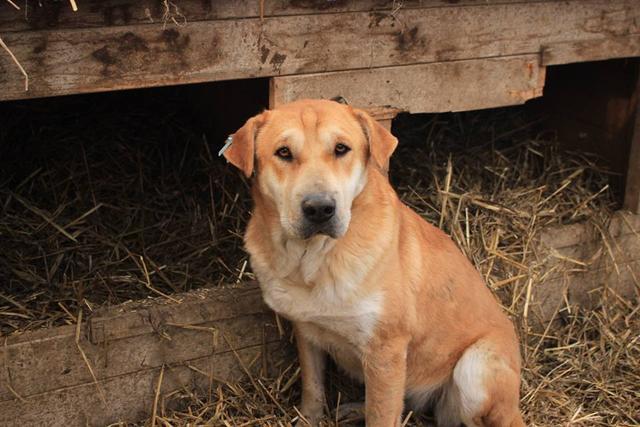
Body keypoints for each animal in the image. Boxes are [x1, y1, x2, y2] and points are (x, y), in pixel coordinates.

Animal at [225, 100, 524, 427]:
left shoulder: (386, 351)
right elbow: (313, 390)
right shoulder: (306, 330)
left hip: (475, 369)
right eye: (283, 152)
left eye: (341, 148)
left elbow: (381, 414)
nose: (319, 209)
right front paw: (311, 417)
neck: (314, 260)